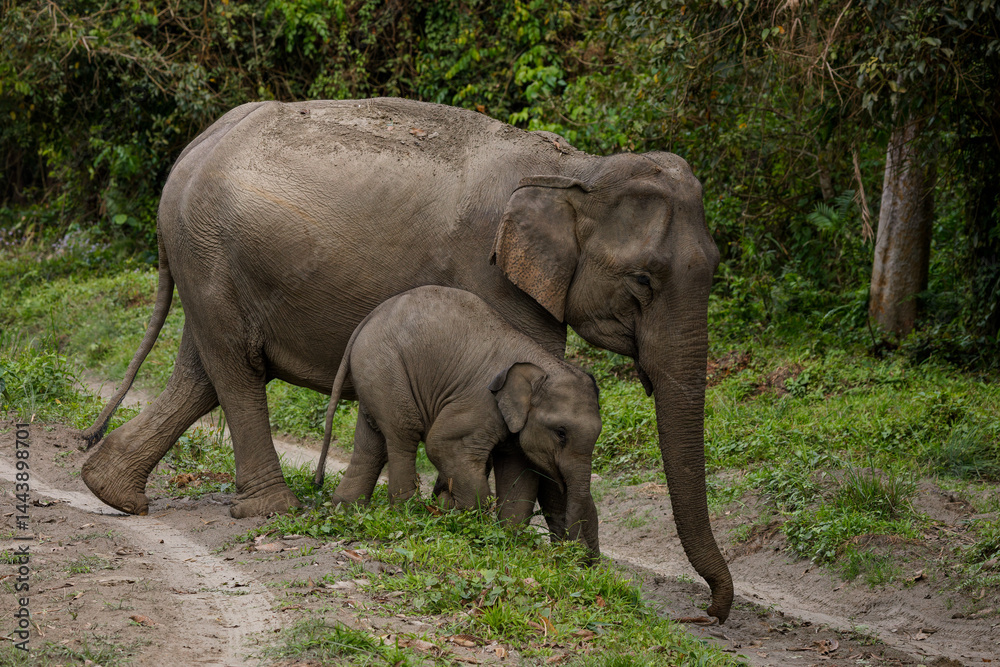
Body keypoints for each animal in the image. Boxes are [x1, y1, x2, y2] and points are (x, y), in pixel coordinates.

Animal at [312, 285, 602, 557]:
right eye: (561, 433)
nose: (582, 556)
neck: (543, 363)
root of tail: (368, 319)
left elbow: (520, 475)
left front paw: (509, 541)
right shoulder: (480, 401)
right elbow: (443, 445)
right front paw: (456, 512)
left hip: (372, 374)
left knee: (370, 444)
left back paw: (346, 510)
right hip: (386, 369)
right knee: (403, 435)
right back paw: (406, 513)